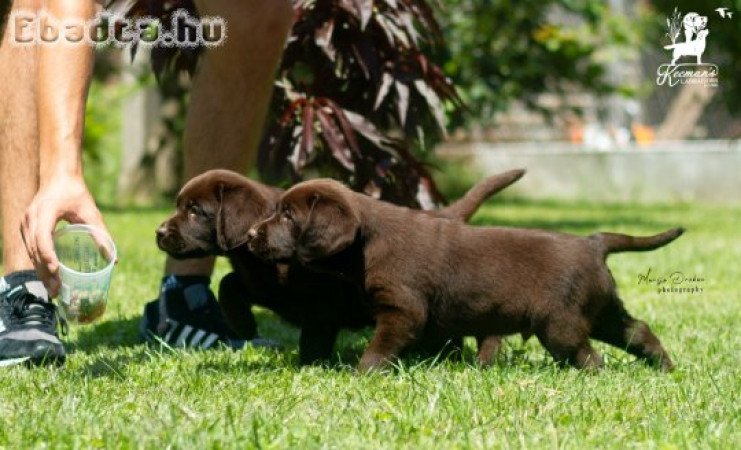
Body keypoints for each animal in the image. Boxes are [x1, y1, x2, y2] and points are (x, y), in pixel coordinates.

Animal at [158, 169, 528, 362]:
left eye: (195, 211)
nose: (159, 232)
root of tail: (445, 217)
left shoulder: (322, 305)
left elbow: (315, 334)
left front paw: (309, 364)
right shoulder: (260, 283)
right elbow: (229, 284)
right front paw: (244, 325)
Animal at [249, 179, 684, 372]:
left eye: (287, 216)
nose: (252, 234)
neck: (367, 243)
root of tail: (593, 243)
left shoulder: (403, 310)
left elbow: (379, 348)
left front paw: (362, 374)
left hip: (559, 322)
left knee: (588, 356)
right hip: (604, 309)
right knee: (637, 330)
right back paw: (663, 366)